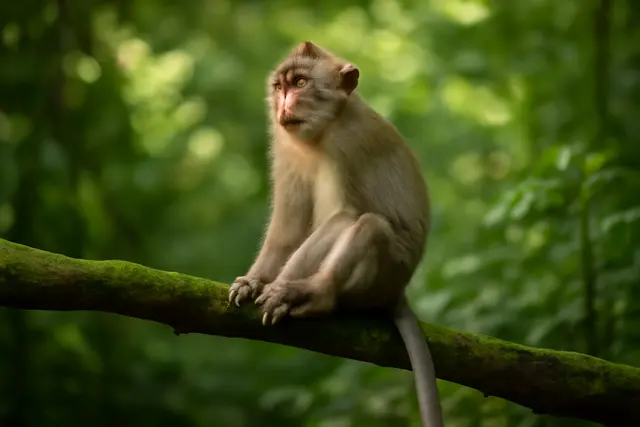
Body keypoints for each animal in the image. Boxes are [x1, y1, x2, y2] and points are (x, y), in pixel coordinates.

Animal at [228, 41, 444, 427]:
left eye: (300, 83)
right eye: (280, 86)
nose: (284, 104)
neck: (322, 132)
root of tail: (398, 292)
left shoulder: (349, 142)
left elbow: (344, 216)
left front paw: (280, 288)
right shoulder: (285, 148)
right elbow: (287, 228)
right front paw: (254, 281)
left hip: (386, 275)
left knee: (368, 225)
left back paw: (315, 293)